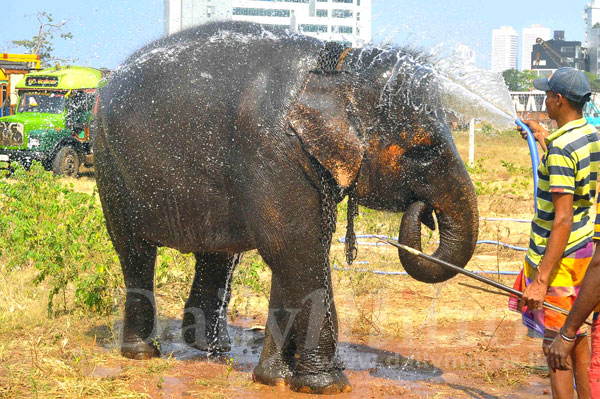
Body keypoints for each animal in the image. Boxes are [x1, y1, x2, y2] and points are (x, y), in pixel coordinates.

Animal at [94, 21, 478, 396]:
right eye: (423, 150)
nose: (423, 211)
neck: (335, 69)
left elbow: (297, 251)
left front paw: (273, 378)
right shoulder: (273, 150)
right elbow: (296, 249)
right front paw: (325, 385)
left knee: (219, 253)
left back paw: (212, 347)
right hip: (109, 165)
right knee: (136, 252)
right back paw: (143, 353)